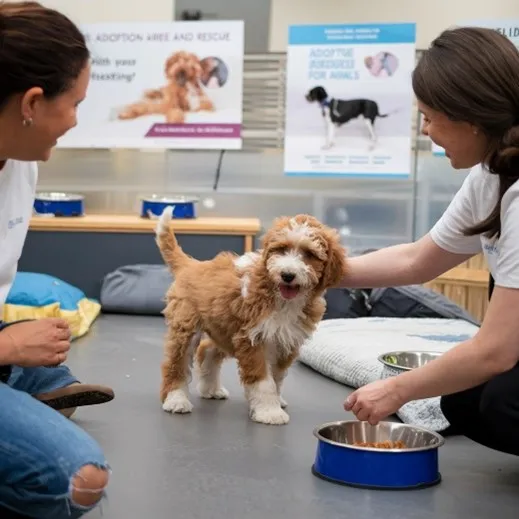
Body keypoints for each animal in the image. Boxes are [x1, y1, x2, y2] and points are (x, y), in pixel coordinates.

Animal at [156, 207, 348, 426]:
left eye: (309, 254)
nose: (287, 275)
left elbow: (276, 378)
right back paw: (176, 399)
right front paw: (269, 411)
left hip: (224, 326)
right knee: (176, 363)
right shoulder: (253, 339)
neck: (282, 300)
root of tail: (192, 265)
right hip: (186, 326)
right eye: (281, 249)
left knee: (207, 349)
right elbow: (264, 380)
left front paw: (273, 402)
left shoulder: (286, 342)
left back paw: (210, 389)